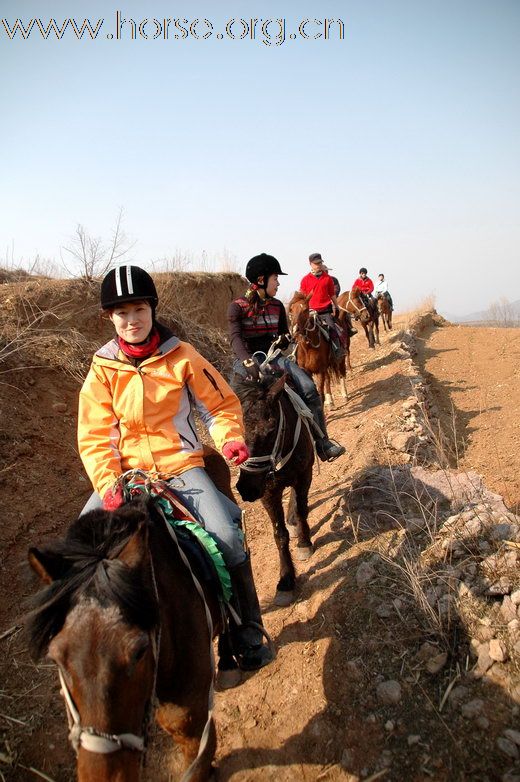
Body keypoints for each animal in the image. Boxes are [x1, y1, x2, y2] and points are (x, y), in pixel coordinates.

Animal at [235, 374, 312, 608]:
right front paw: (286, 580)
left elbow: (303, 510)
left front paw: (304, 542)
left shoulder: (304, 475)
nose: (247, 488)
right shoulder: (268, 494)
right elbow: (279, 534)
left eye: (270, 430)